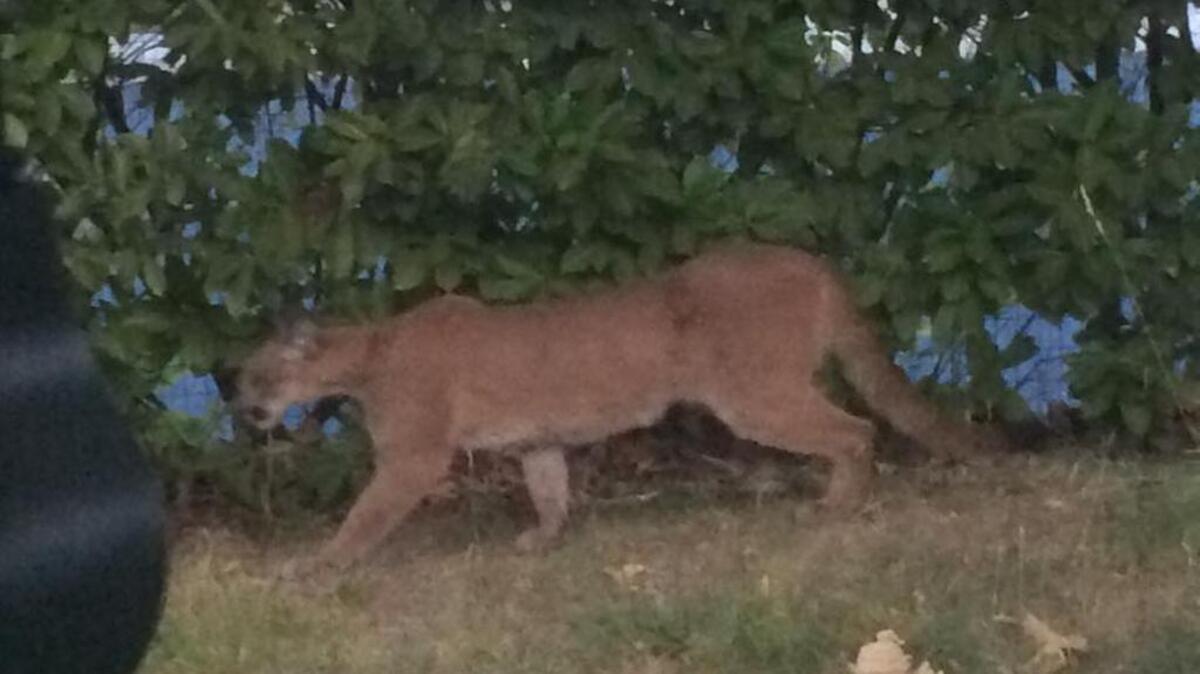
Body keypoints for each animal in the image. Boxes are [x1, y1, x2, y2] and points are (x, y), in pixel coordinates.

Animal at [233, 242, 1000, 573]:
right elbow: (550, 490)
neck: (373, 350)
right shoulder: (536, 441)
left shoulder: (413, 458)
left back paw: (839, 505)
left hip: (754, 396)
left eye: (254, 375)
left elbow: (364, 517)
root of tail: (807, 258)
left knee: (856, 428)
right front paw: (543, 540)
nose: (238, 405)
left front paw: (316, 564)